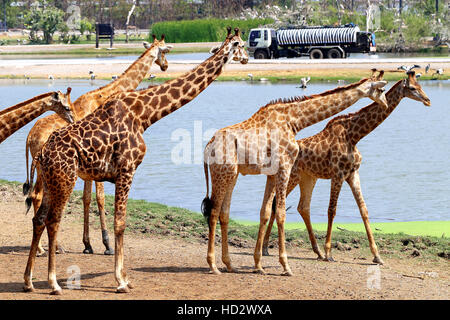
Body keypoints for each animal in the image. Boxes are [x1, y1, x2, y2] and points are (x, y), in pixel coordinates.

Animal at [23, 35, 173, 255]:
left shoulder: (89, 167)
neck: (107, 93)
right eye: (165, 50)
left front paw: (88, 244)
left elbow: (86, 198)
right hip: (48, 169)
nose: (165, 66)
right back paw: (50, 248)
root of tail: (29, 138)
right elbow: (100, 198)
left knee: (37, 196)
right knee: (37, 196)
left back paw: (48, 247)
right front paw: (107, 244)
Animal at [202, 74, 388, 276]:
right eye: (381, 89)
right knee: (213, 212)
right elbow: (281, 212)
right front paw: (286, 266)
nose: (386, 104)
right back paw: (213, 266)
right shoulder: (284, 167)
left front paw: (259, 265)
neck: (294, 121)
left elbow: (265, 212)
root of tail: (208, 146)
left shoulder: (271, 173)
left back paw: (229, 265)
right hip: (222, 173)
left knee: (224, 213)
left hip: (232, 175)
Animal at [262, 71, 430, 264]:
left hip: (308, 178)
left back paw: (316, 252)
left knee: (302, 207)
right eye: (412, 88)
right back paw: (266, 248)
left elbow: (364, 210)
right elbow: (332, 210)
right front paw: (329, 253)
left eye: (420, 86)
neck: (354, 135)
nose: (428, 100)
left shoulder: (353, 173)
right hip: (293, 176)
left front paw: (377, 256)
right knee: (276, 204)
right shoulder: (338, 174)